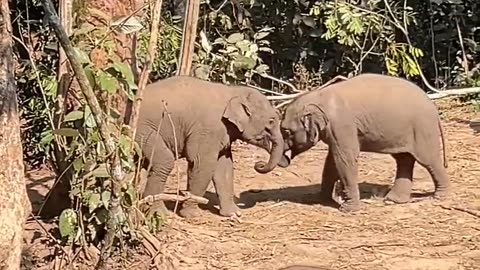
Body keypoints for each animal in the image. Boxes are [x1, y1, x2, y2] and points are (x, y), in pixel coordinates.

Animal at [135, 75, 284, 218]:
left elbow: (224, 167)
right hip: (142, 131)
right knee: (164, 161)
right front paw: (191, 215)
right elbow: (203, 163)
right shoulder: (208, 129)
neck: (233, 91)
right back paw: (158, 212)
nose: (259, 164)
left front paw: (233, 214)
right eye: (271, 121)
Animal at [282, 73, 450, 212]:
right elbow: (332, 160)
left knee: (428, 160)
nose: (286, 158)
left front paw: (347, 209)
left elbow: (344, 158)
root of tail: (433, 107)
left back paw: (440, 196)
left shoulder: (342, 125)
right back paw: (393, 200)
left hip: (422, 128)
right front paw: (322, 200)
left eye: (287, 132)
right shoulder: (336, 132)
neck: (318, 96)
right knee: (404, 159)